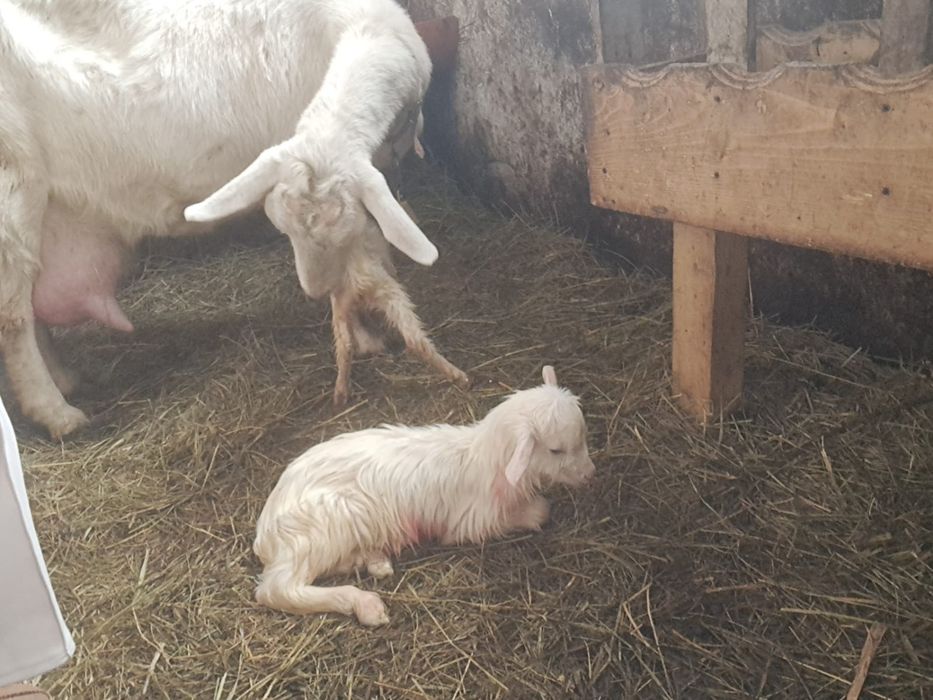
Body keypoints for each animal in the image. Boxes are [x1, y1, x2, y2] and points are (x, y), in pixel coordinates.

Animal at [0, 0, 464, 437]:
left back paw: (66, 379)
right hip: (13, 186)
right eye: (281, 227)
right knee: (14, 317)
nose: (313, 289)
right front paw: (365, 336)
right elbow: (360, 260)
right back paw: (57, 412)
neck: (363, 27)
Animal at [253, 365, 595, 626]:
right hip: (325, 525)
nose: (590, 474)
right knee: (278, 590)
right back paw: (366, 605)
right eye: (555, 450)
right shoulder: (471, 520)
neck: (483, 458)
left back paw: (374, 560)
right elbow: (540, 511)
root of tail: (264, 535)